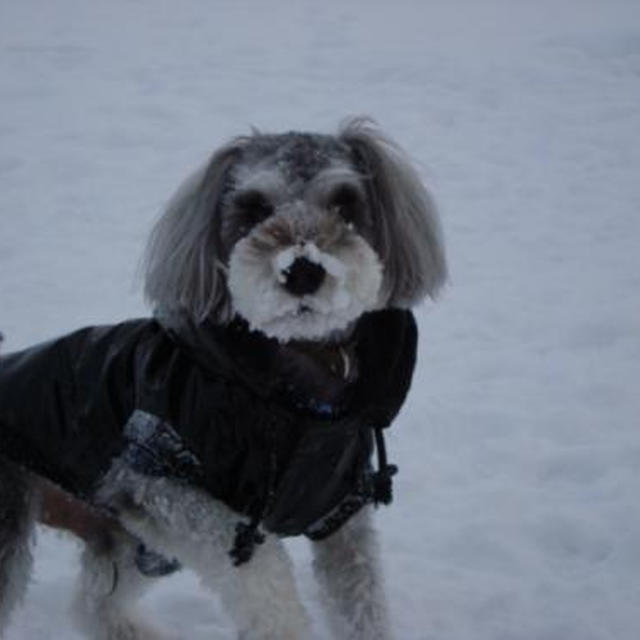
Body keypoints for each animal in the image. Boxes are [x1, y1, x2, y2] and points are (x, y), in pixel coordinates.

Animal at [0, 117, 448, 636]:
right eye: (254, 207)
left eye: (344, 201)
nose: (302, 271)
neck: (304, 393)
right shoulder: (152, 481)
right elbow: (263, 569)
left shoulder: (340, 513)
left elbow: (361, 603)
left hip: (131, 541)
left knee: (94, 601)